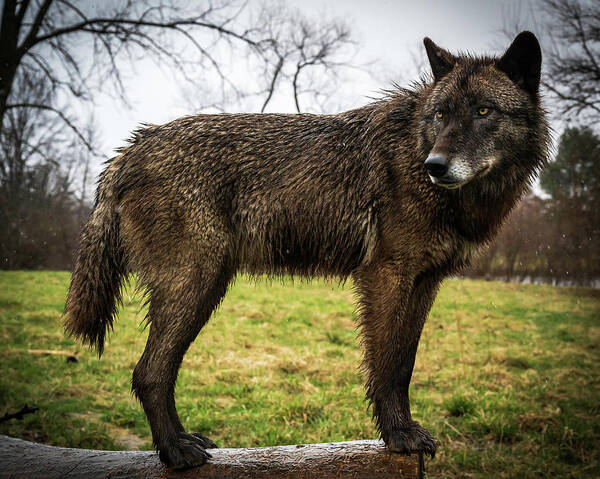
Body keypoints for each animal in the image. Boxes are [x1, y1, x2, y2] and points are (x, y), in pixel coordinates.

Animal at [64, 32, 548, 468]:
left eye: (483, 111)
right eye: (441, 114)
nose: (436, 166)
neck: (415, 150)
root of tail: (132, 147)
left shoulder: (425, 283)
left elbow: (404, 363)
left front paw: (402, 432)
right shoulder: (387, 276)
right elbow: (387, 367)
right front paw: (398, 437)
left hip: (204, 288)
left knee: (155, 371)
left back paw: (184, 440)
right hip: (196, 287)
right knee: (149, 372)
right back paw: (176, 453)